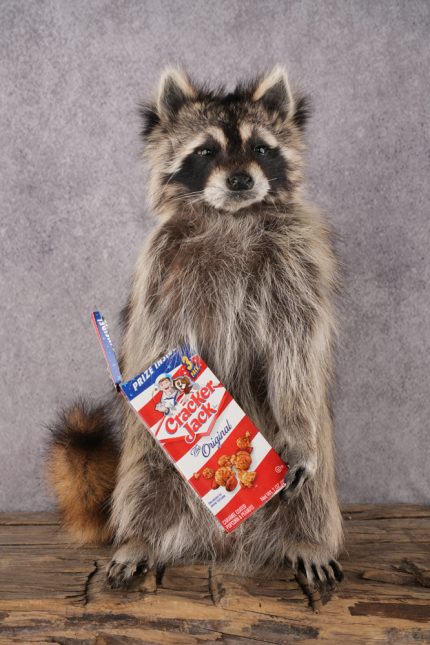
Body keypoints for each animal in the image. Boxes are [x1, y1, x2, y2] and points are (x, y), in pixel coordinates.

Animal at [47, 66, 344, 591]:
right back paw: (139, 536)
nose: (242, 178)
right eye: (206, 151)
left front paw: (297, 430)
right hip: (148, 464)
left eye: (261, 148)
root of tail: (225, 543)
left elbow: (295, 352)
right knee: (144, 479)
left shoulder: (297, 263)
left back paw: (307, 538)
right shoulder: (161, 268)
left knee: (313, 487)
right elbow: (157, 339)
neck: (232, 216)